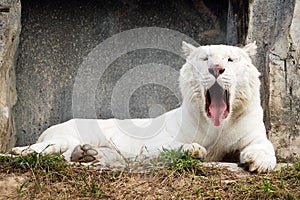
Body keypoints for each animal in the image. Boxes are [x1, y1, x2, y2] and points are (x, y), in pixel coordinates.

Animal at [12, 41, 276, 172]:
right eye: (205, 59)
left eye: (230, 59)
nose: (216, 68)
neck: (217, 124)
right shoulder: (154, 144)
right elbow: (170, 147)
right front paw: (194, 150)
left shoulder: (253, 134)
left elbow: (266, 147)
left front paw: (259, 162)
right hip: (63, 136)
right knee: (44, 148)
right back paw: (20, 151)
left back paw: (86, 154)